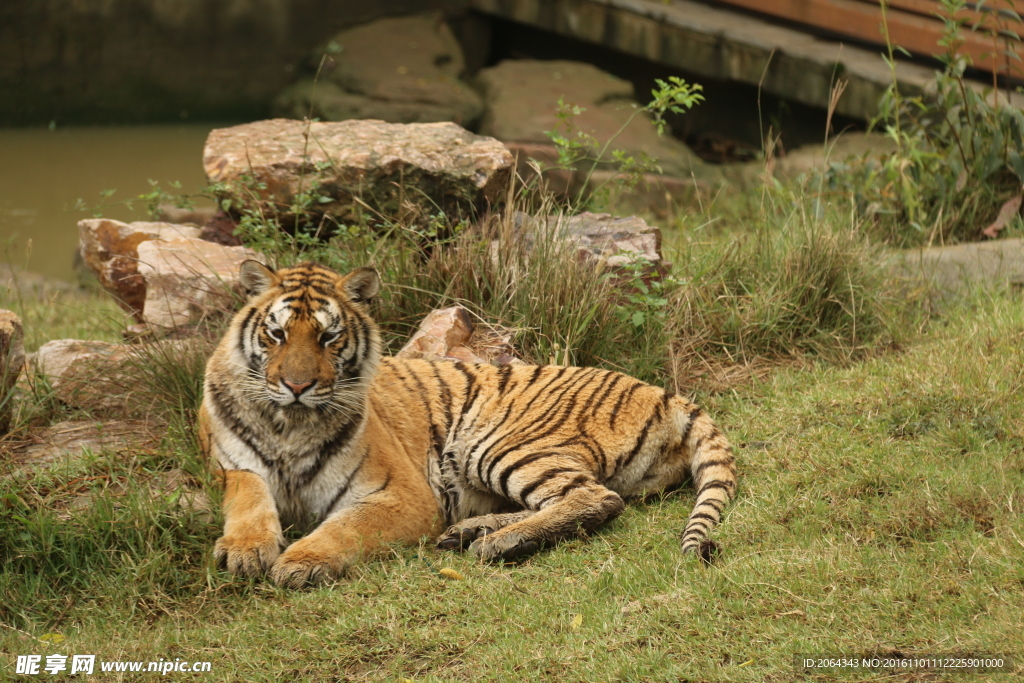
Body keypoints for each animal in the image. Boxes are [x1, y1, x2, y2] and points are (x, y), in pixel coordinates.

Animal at [195, 260, 737, 589]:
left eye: (329, 338)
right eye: (277, 334)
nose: (297, 385)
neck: (289, 422)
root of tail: (664, 391)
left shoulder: (402, 494)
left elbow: (346, 528)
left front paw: (299, 563)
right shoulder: (231, 466)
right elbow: (247, 498)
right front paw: (245, 551)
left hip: (498, 443)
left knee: (596, 498)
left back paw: (499, 542)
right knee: (579, 497)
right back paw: (472, 531)